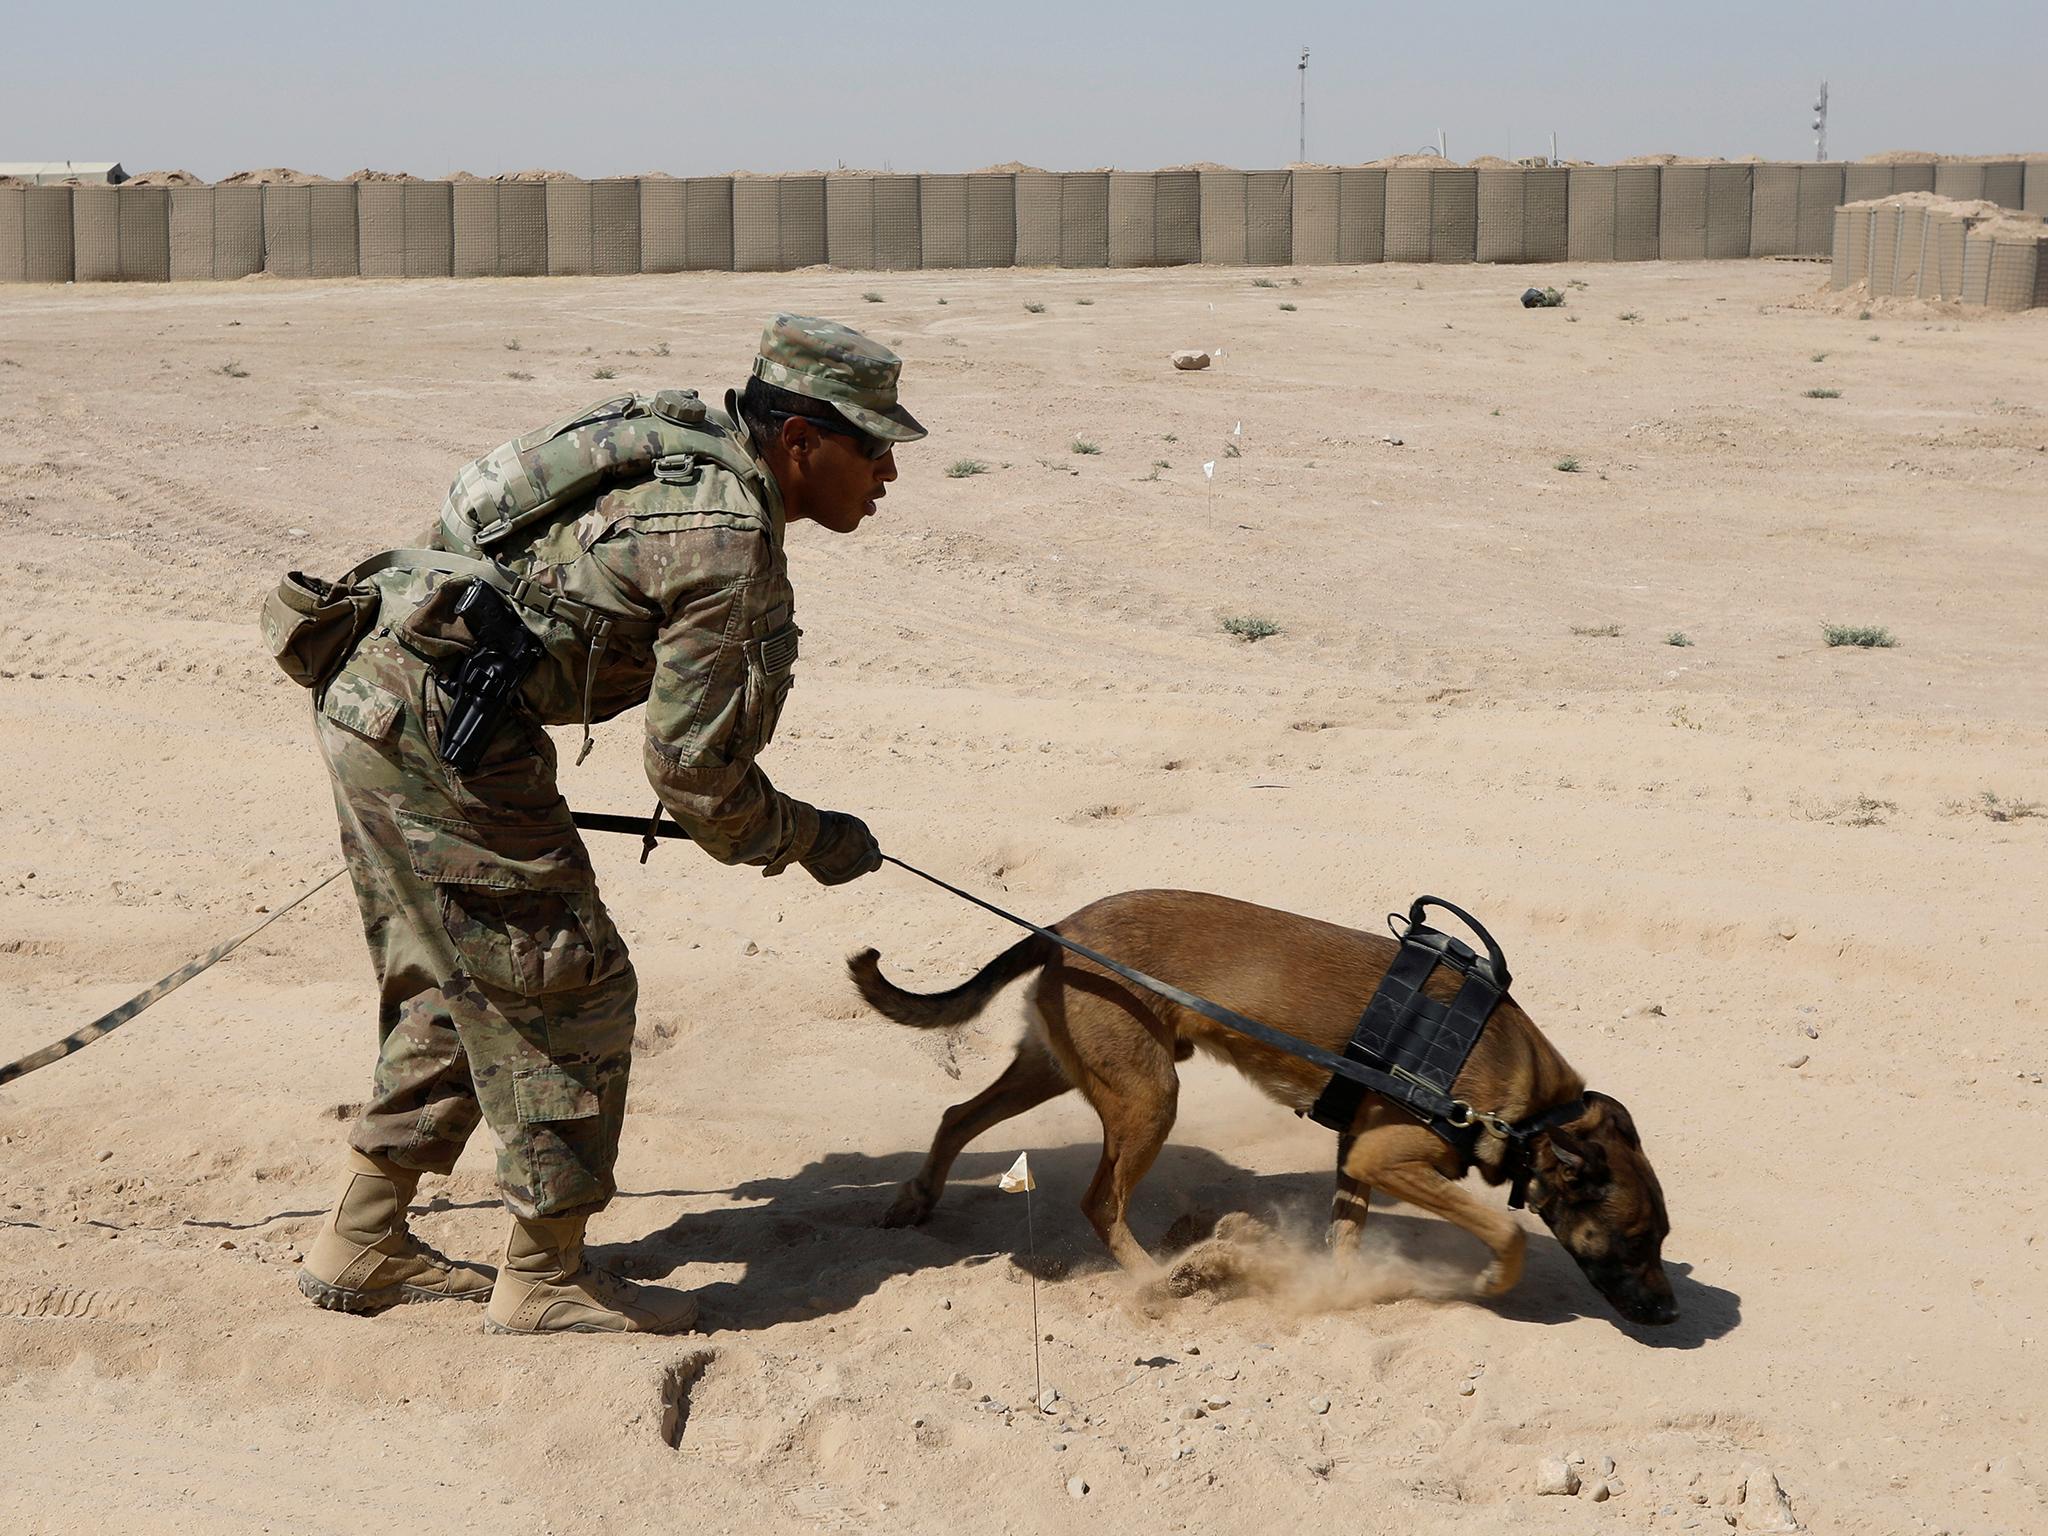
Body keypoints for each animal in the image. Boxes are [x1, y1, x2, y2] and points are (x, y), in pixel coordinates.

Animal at [856, 897, 1671, 1327]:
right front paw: (1488, 1283)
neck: (1533, 1114)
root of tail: (1066, 925)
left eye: (1662, 1239)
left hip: (1056, 1069)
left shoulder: (1358, 1160)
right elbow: (1506, 1231)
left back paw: (918, 1199)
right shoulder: (1385, 1158)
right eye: (1635, 1241)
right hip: (1149, 1100)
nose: (1669, 1315)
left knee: (958, 1116)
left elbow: (1348, 1239)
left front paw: (1339, 1292)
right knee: (1099, 1201)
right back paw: (1159, 1278)